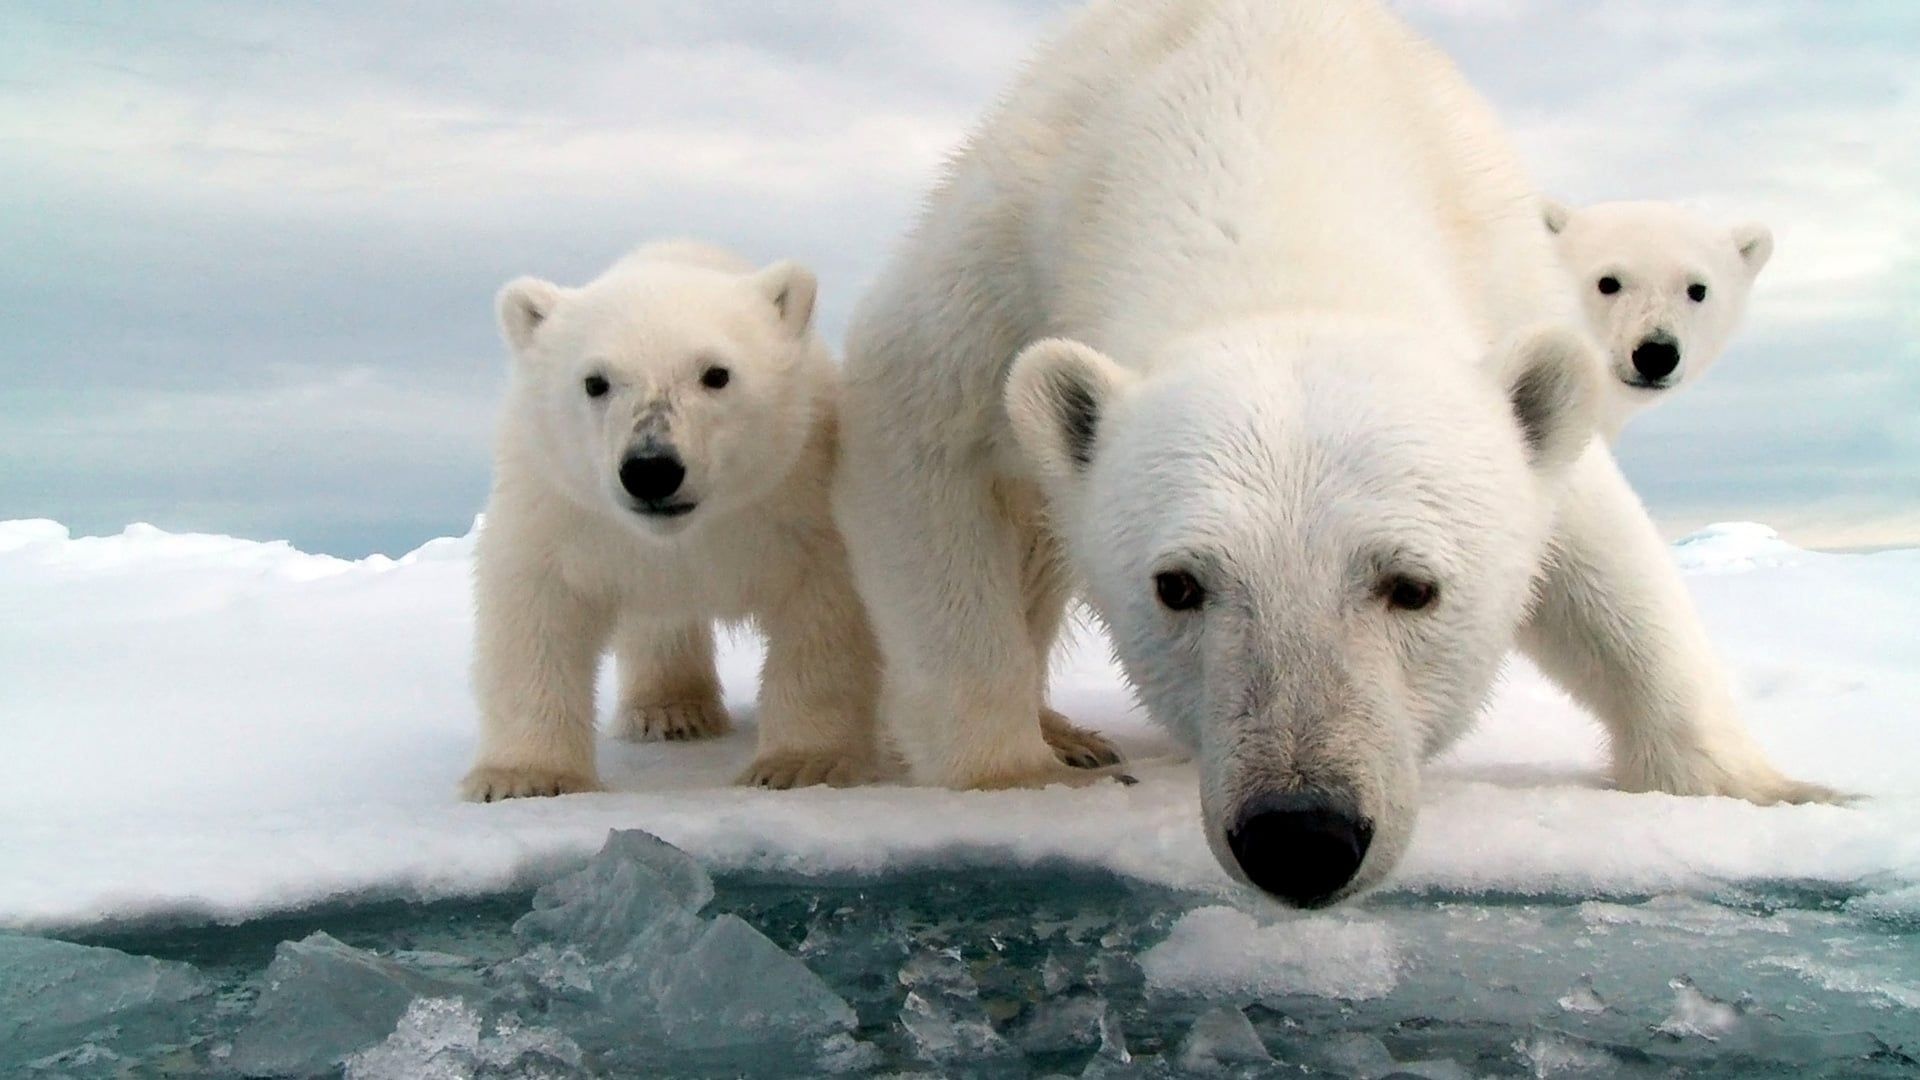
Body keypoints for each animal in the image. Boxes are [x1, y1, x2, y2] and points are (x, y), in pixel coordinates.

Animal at [460, 242, 879, 799]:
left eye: (717, 373)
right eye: (595, 381)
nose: (651, 469)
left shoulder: (797, 500)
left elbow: (823, 612)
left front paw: (802, 764)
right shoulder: (562, 509)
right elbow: (537, 610)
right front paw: (523, 777)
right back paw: (672, 712)